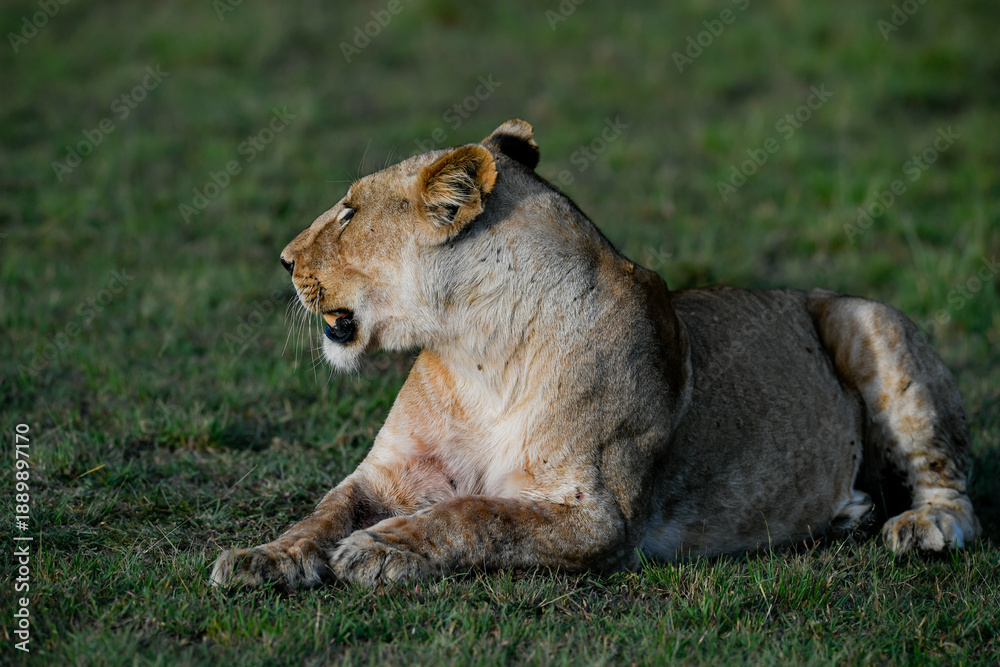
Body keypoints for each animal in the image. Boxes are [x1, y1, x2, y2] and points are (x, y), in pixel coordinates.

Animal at [211, 119, 980, 590]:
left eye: (348, 212)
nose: (283, 261)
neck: (476, 351)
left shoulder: (597, 515)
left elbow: (475, 515)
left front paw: (380, 549)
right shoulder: (389, 474)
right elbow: (324, 511)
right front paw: (261, 557)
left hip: (867, 319)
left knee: (949, 481)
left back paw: (922, 525)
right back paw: (848, 512)